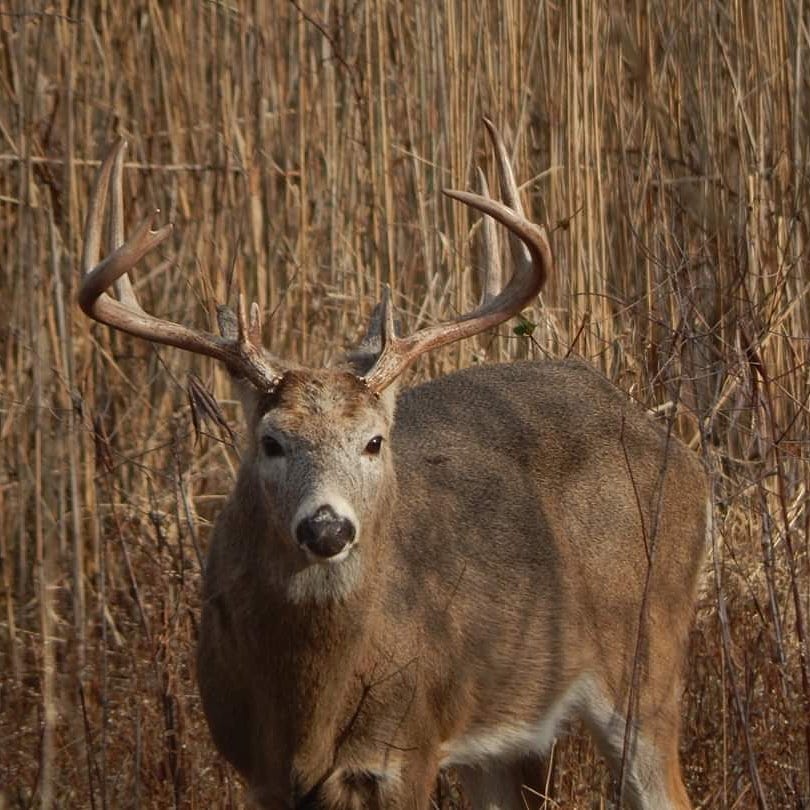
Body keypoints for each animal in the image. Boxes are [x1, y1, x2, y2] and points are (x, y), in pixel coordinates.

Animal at [80, 121, 708, 810]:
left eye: (375, 441)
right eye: (270, 441)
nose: (327, 527)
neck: (307, 713)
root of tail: (674, 446)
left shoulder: (406, 745)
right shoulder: (254, 767)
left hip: (649, 658)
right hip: (506, 731)